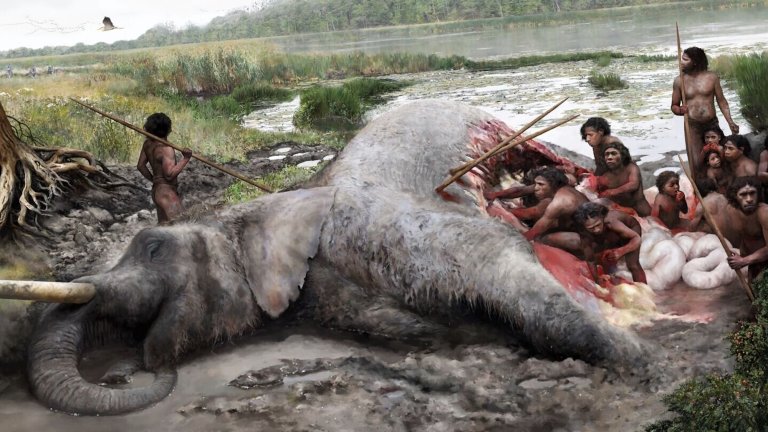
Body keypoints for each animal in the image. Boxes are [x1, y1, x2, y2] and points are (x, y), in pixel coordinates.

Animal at [25, 100, 649, 416]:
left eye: (153, 246)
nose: (122, 373)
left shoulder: (387, 224)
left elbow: (501, 258)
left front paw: (638, 358)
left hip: (511, 132)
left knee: (553, 154)